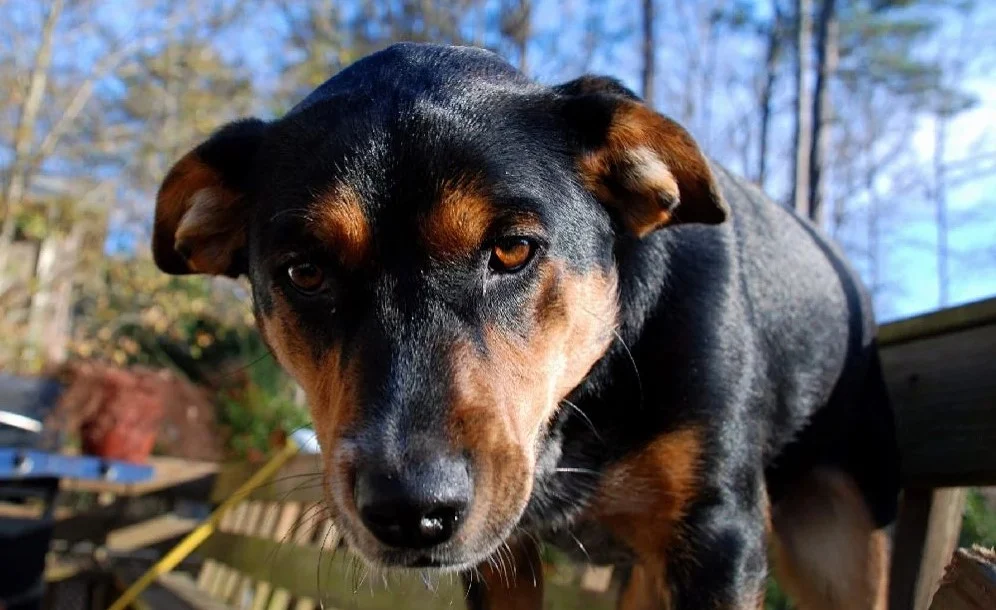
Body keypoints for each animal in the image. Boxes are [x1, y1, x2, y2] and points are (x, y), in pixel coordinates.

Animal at [150, 44, 904, 608]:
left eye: (513, 249)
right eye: (304, 271)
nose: (411, 511)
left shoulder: (719, 534)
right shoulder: (503, 559)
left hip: (839, 546)